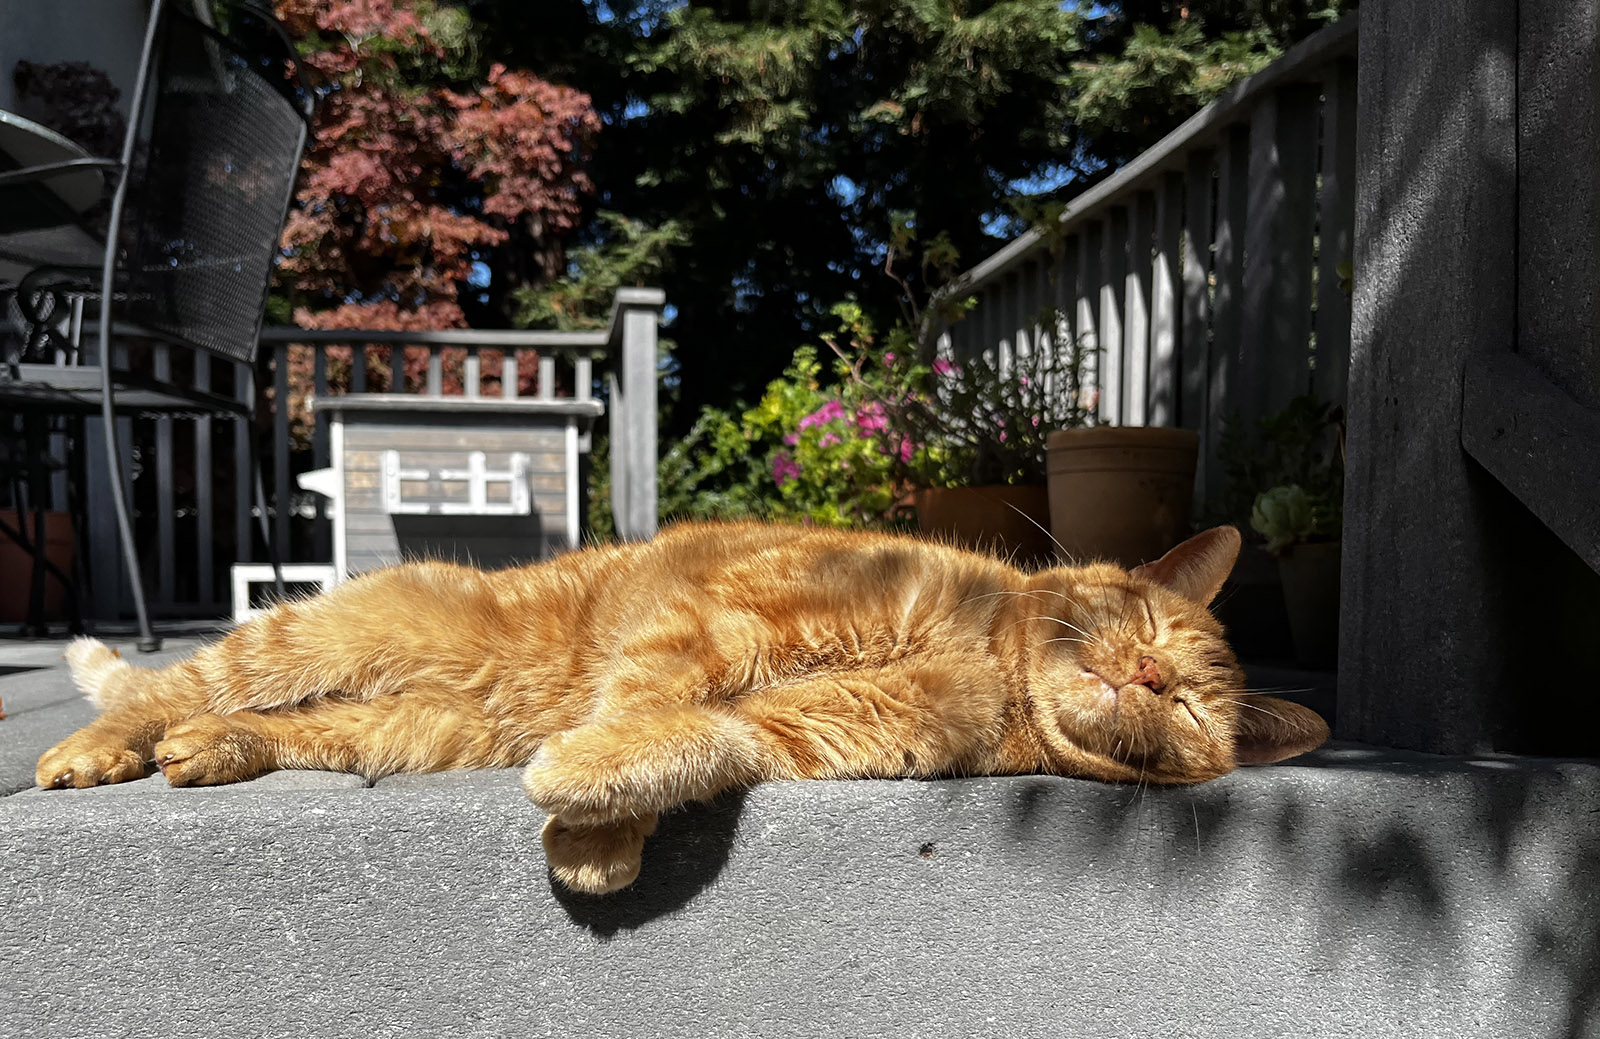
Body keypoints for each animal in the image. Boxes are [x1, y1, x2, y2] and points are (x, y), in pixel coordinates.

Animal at [31, 518, 1324, 890]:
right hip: (338, 633)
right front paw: (588, 822)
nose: (1148, 677)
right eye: (1148, 628)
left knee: (279, 724)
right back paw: (95, 749)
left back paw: (208, 749)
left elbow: (692, 737)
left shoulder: (797, 725)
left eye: (1192, 707)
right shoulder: (727, 617)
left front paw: (591, 820)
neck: (985, 658)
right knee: (175, 680)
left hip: (407, 725)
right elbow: (654, 696)